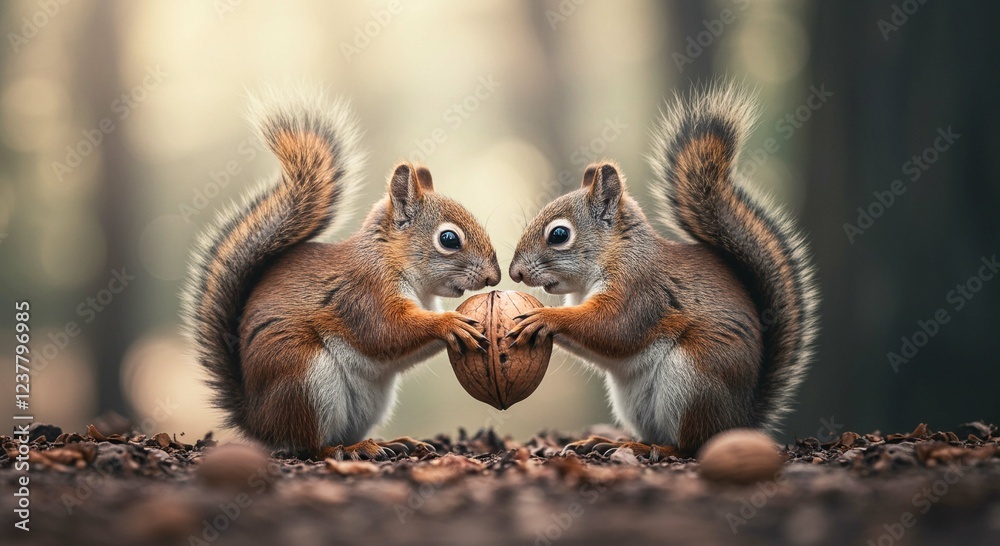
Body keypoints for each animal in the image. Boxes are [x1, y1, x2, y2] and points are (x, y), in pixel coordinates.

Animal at [182, 89, 501, 459]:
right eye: (449, 239)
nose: (494, 277)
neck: (395, 264)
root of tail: (258, 422)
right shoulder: (364, 292)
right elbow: (386, 331)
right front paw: (450, 323)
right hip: (304, 378)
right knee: (308, 445)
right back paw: (346, 449)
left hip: (369, 400)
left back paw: (386, 442)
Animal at [506, 84, 818, 458]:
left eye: (558, 235)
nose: (515, 273)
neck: (613, 254)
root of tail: (740, 421)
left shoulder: (640, 288)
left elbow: (614, 327)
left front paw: (545, 317)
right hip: (634, 400)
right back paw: (611, 441)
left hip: (693, 378)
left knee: (690, 446)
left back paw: (654, 449)